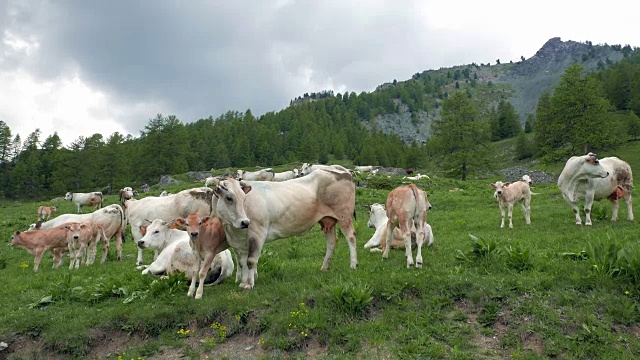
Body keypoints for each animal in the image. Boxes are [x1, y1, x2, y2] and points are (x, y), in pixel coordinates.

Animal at [212, 168, 358, 290]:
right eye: (229, 198)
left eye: (243, 198)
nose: (245, 222)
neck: (232, 229)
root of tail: (341, 170)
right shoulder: (240, 242)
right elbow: (242, 262)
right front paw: (243, 283)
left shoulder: (257, 233)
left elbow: (251, 260)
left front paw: (249, 284)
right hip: (327, 220)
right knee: (331, 242)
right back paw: (325, 267)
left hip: (344, 216)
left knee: (351, 237)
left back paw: (353, 264)